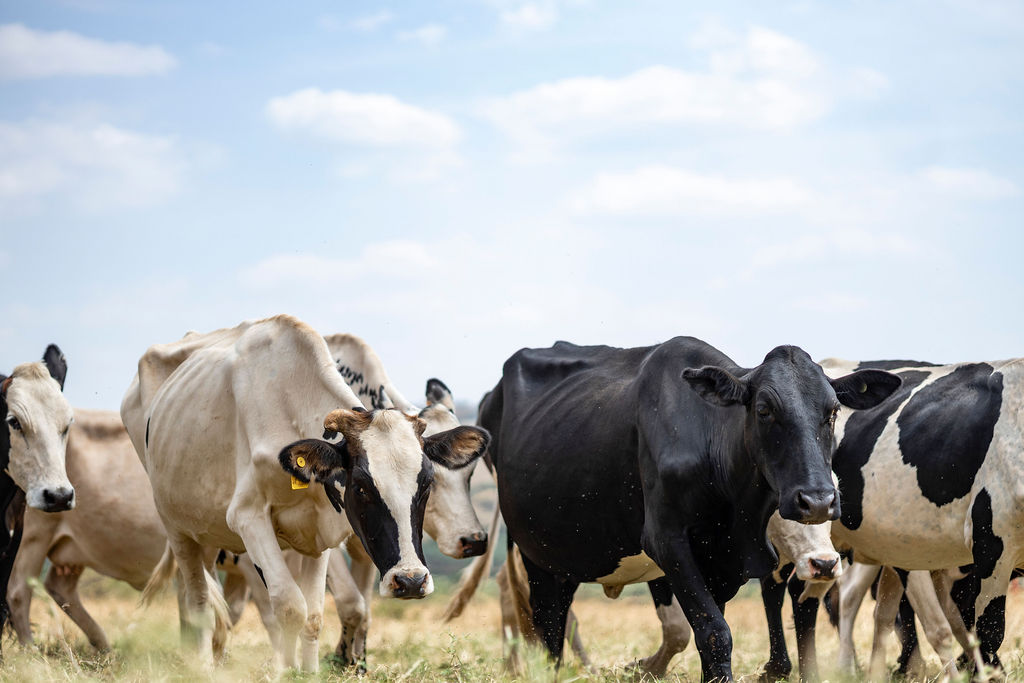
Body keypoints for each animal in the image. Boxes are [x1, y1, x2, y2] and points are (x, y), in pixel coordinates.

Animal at [121, 315, 489, 670]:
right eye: (361, 487)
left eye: (425, 482)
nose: (411, 581)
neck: (288, 407)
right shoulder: (249, 519)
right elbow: (292, 607)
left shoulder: (323, 532)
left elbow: (317, 616)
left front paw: (337, 663)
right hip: (177, 527)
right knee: (197, 600)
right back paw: (201, 665)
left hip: (207, 529)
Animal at [478, 338, 899, 680]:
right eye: (764, 409)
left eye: (833, 411)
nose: (817, 500)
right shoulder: (668, 542)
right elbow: (715, 634)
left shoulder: (723, 561)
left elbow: (710, 635)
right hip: (532, 552)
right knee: (549, 627)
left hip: (564, 557)